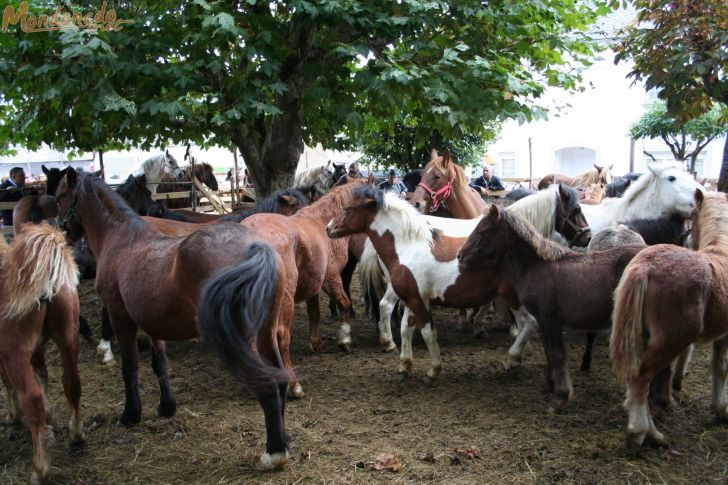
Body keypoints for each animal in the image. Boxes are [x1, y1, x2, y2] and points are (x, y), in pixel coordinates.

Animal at [0, 221, 83, 482]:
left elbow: (8, 382)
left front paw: (13, 415)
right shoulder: (36, 347)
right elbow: (42, 374)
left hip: (15, 353)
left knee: (32, 398)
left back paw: (39, 469)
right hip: (68, 338)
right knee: (72, 383)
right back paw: (76, 434)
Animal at [52, 168, 294, 466]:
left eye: (59, 197)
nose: (61, 229)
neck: (121, 238)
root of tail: (254, 247)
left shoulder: (122, 318)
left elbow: (130, 367)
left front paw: (130, 414)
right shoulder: (152, 322)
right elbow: (160, 365)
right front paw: (166, 406)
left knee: (267, 383)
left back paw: (274, 452)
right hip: (265, 332)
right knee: (279, 377)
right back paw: (283, 439)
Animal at [458, 204, 644, 412]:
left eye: (481, 231)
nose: (460, 255)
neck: (536, 266)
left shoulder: (549, 318)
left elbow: (557, 354)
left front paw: (560, 397)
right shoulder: (544, 320)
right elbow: (549, 352)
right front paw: (549, 383)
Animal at [608, 189, 728, 450]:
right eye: (693, 215)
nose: (687, 238)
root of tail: (645, 267)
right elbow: (721, 367)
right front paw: (722, 409)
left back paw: (652, 432)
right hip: (670, 340)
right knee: (641, 377)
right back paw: (639, 433)